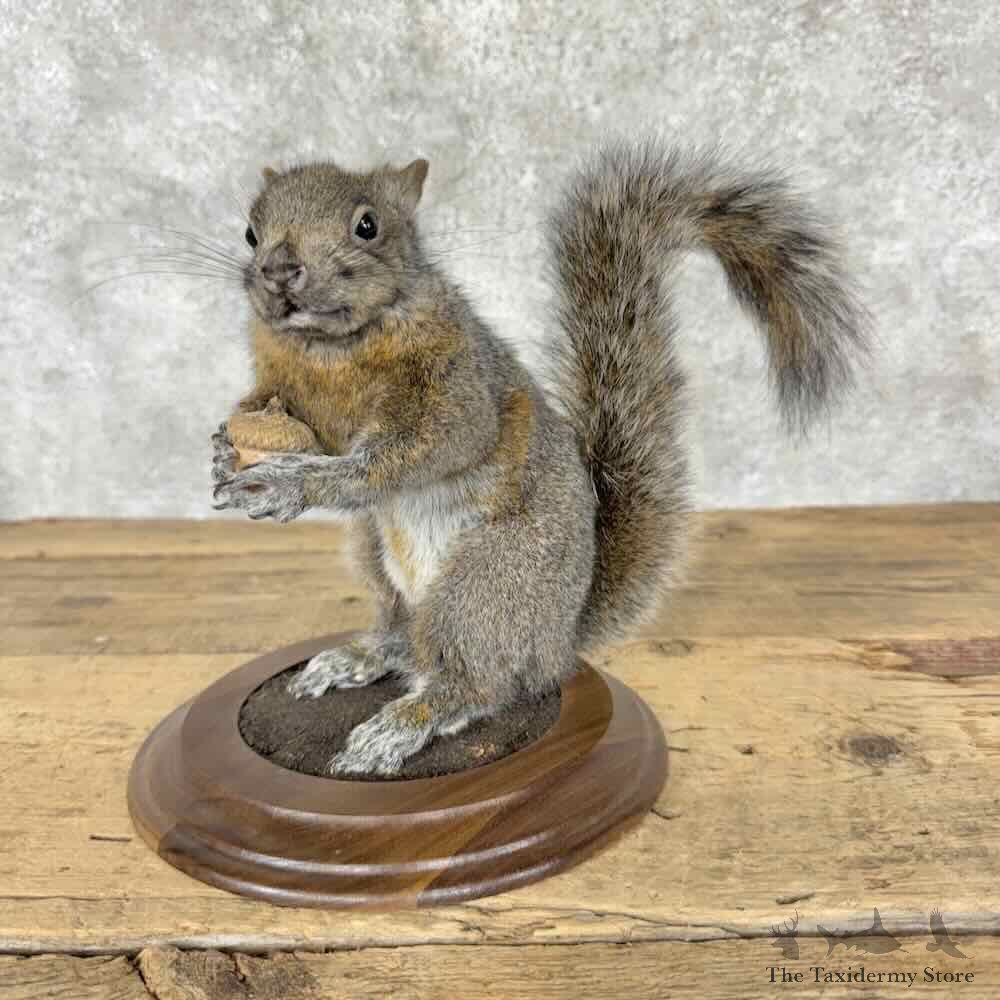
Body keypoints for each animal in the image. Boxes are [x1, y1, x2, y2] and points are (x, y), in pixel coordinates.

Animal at [212, 141, 869, 775]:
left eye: (367, 226)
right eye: (250, 231)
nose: (278, 271)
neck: (329, 347)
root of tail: (559, 640)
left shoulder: (457, 388)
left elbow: (415, 452)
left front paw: (290, 485)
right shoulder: (291, 390)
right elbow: (299, 426)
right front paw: (223, 451)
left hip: (486, 584)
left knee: (477, 685)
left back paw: (401, 725)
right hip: (380, 561)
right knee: (407, 640)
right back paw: (358, 658)